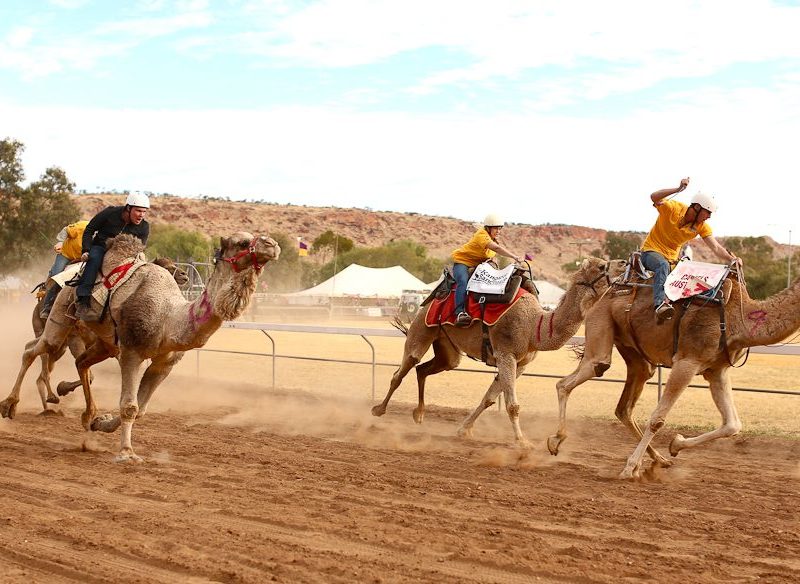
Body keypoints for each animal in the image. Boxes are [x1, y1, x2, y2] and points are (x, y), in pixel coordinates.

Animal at [3, 233, 280, 460]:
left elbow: (142, 409)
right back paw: (10, 405)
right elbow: (130, 406)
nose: (272, 244)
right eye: (242, 242)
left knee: (79, 362)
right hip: (62, 317)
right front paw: (127, 452)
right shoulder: (132, 353)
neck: (169, 318)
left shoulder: (164, 362)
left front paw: (101, 423)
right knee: (34, 350)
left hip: (104, 344)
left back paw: (85, 415)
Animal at [372, 258, 628, 444]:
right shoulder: (506, 354)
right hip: (423, 328)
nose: (625, 262)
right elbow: (512, 405)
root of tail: (431, 298)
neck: (534, 325)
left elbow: (489, 398)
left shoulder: (521, 364)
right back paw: (378, 410)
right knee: (404, 368)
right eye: (602, 266)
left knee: (425, 369)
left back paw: (419, 414)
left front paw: (464, 430)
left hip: (448, 350)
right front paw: (523, 442)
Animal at [548, 264, 800, 480]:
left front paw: (675, 445)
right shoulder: (687, 361)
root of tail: (601, 294)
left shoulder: (716, 370)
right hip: (600, 325)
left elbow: (733, 424)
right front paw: (629, 469)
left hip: (636, 355)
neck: (739, 319)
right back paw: (556, 441)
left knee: (624, 407)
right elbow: (657, 419)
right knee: (577, 376)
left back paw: (660, 460)